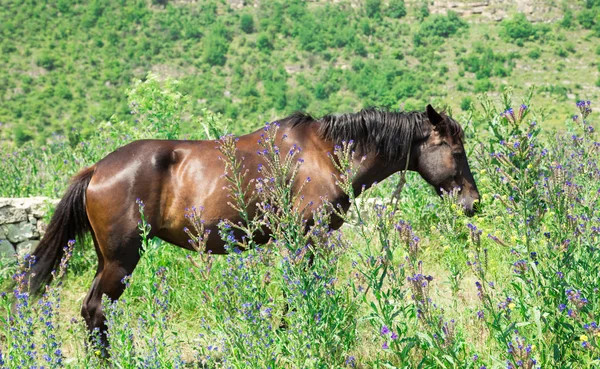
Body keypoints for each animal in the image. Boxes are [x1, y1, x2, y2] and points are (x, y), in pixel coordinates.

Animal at [27, 103, 478, 342]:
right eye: (456, 152)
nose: (474, 202)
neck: (324, 153)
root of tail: (97, 170)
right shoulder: (304, 237)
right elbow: (297, 291)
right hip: (122, 259)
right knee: (96, 310)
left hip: (108, 259)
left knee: (92, 311)